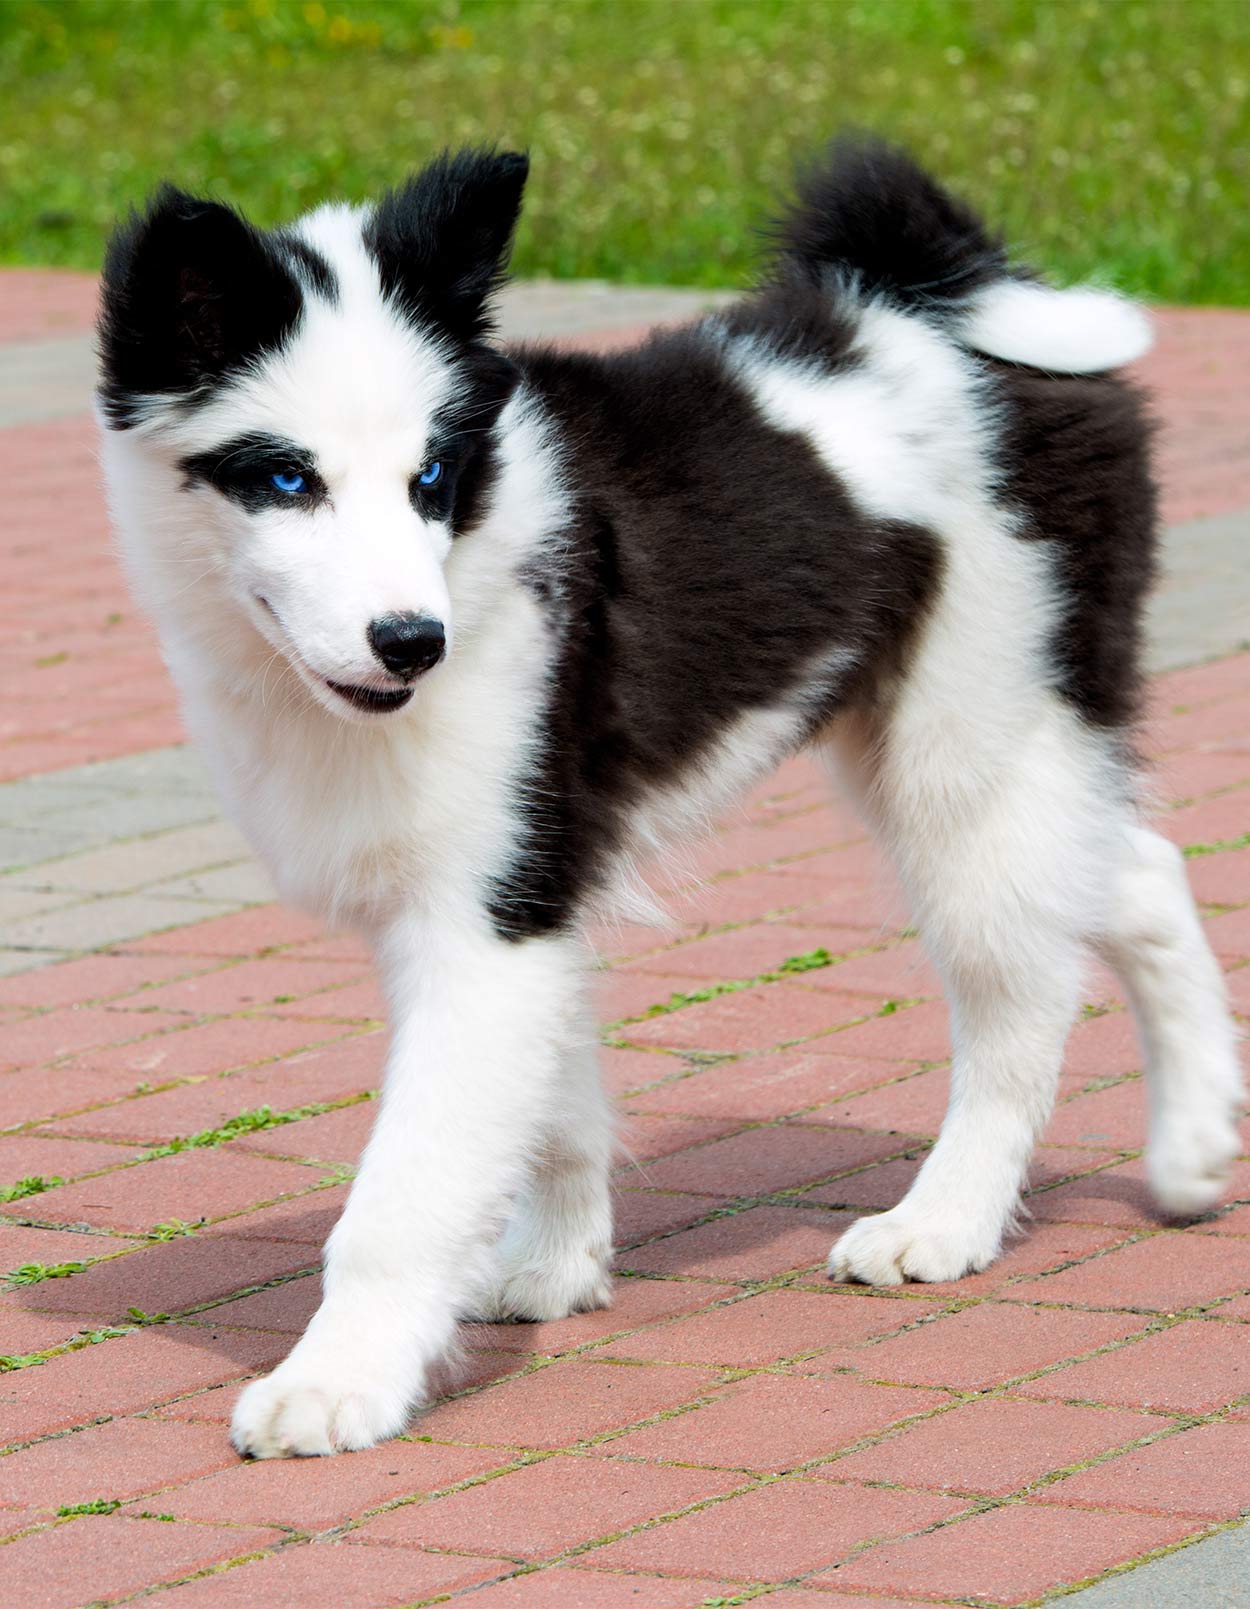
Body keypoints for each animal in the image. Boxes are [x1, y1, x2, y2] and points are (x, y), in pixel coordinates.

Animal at [94, 141, 1235, 1460]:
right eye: (284, 479)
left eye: (431, 478)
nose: (413, 642)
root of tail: (946, 301)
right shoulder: (529, 892)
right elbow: (550, 1099)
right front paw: (556, 1268)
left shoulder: (489, 911)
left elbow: (408, 1184)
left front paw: (337, 1382)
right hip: (984, 747)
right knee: (1134, 868)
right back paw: (1195, 1147)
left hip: (969, 745)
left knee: (1022, 993)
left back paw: (940, 1222)